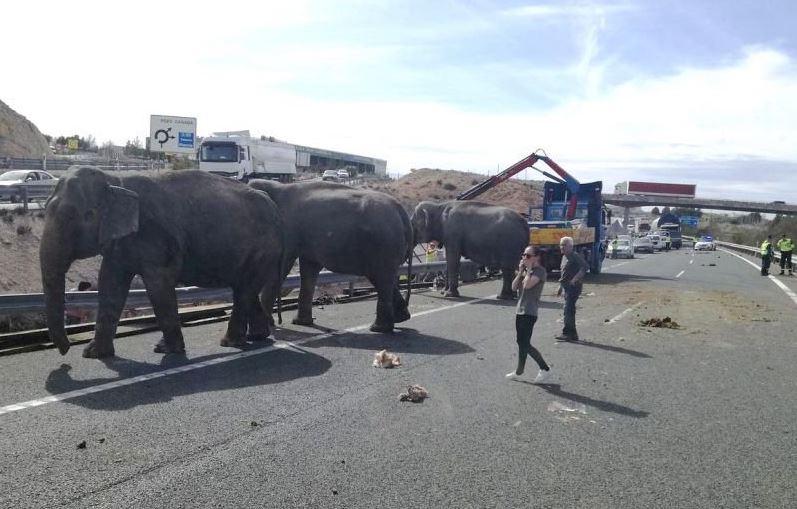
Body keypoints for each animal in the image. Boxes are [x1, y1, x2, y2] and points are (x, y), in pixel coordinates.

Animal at [41, 167, 282, 358]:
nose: (65, 350)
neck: (116, 180)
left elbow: (158, 285)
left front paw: (168, 350)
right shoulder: (121, 241)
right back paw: (257, 336)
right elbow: (110, 284)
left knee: (244, 290)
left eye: (87, 215)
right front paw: (93, 354)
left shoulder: (155, 236)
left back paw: (230, 342)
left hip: (263, 248)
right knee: (245, 289)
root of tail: (273, 206)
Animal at [247, 180, 410, 334]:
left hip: (384, 245)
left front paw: (270, 324)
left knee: (381, 279)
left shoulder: (288, 231)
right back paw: (401, 318)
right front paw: (301, 323)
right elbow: (309, 270)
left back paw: (378, 328)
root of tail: (401, 210)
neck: (277, 186)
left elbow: (282, 266)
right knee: (383, 280)